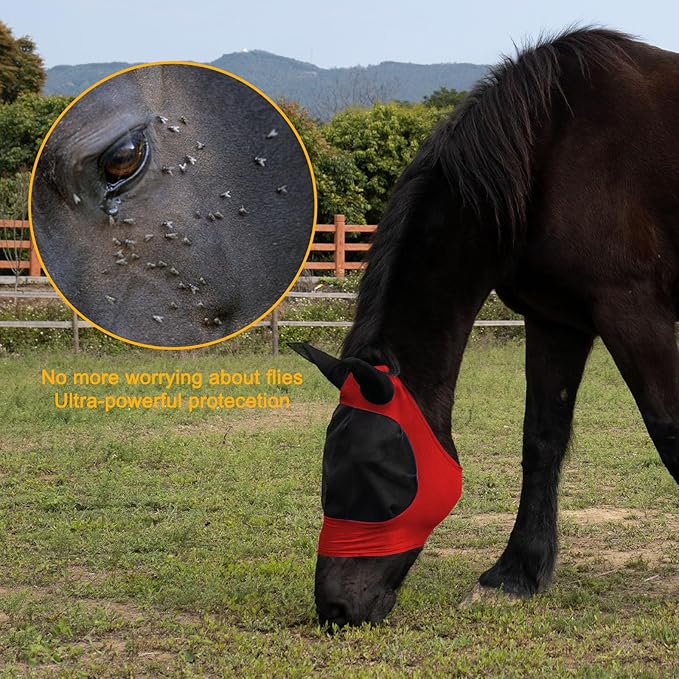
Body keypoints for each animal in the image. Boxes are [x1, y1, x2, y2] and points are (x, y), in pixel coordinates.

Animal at [295, 28, 679, 628]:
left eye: (383, 474)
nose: (335, 607)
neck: (552, 148)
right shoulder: (556, 320)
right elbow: (541, 439)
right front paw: (516, 572)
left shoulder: (635, 313)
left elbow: (670, 431)